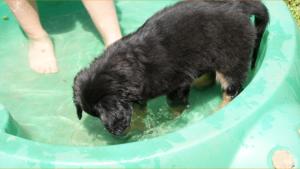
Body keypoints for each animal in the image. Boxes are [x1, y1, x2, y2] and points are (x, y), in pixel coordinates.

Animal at [73, 0, 270, 135]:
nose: (116, 133)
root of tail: (241, 7)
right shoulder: (137, 95)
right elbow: (139, 112)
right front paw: (139, 126)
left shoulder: (177, 85)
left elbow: (174, 107)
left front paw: (169, 122)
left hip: (231, 60)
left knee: (232, 90)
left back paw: (218, 109)